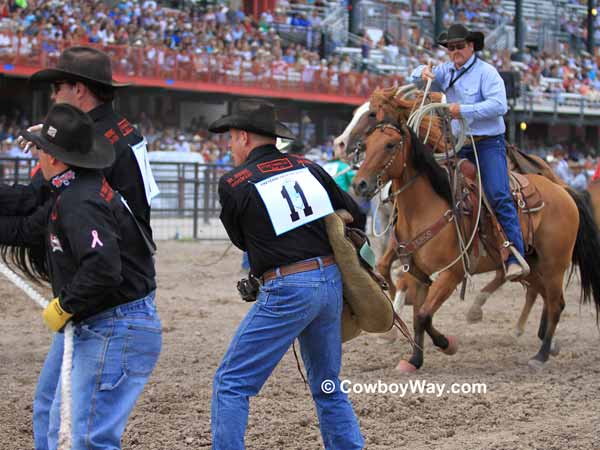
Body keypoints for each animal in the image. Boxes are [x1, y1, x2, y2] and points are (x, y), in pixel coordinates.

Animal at [350, 89, 600, 370]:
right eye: (369, 143)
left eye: (390, 145)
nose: (359, 184)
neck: (426, 207)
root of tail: (564, 190)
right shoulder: (417, 271)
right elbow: (417, 312)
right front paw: (415, 358)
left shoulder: (452, 273)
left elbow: (424, 315)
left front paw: (445, 344)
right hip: (534, 264)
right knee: (541, 294)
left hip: (554, 264)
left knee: (555, 303)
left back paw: (540, 354)